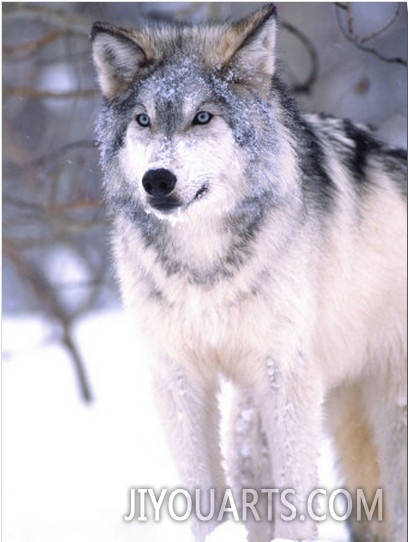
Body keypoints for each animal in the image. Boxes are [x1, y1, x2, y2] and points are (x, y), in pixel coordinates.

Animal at [91, 5, 406, 542]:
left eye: (202, 117)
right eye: (143, 120)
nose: (157, 180)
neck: (204, 266)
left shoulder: (288, 374)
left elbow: (297, 495)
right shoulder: (178, 374)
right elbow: (203, 494)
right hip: (270, 408)